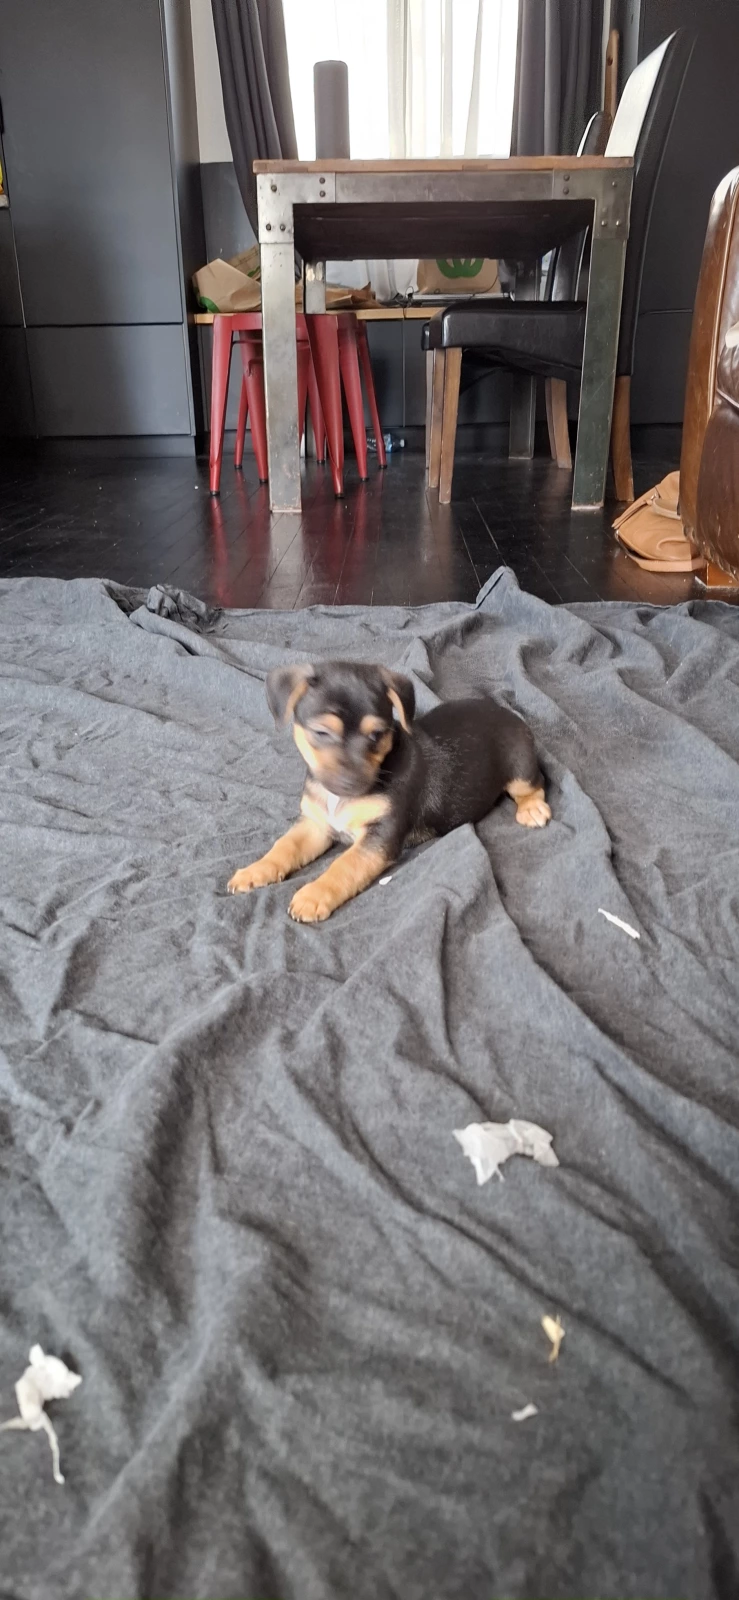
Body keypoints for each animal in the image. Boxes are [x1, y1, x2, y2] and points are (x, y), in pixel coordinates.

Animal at [228, 661, 550, 923]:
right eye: (321, 733)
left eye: (376, 734)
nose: (351, 782)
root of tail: (506, 711)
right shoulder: (316, 825)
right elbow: (284, 846)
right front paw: (255, 870)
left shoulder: (380, 836)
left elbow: (343, 866)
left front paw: (313, 895)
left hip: (519, 764)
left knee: (534, 784)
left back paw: (532, 809)